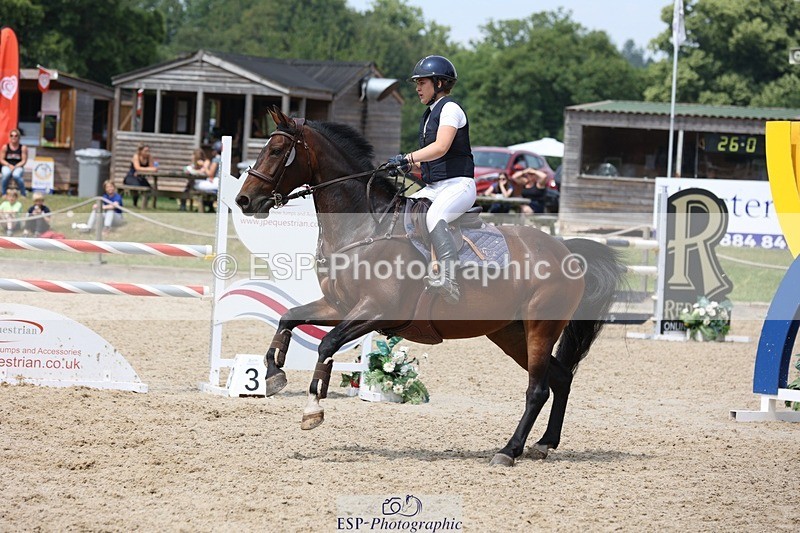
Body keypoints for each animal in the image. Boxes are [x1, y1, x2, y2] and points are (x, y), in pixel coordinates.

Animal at [235, 107, 624, 466]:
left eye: (276, 150)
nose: (244, 201)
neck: (365, 227)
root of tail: (566, 251)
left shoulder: (376, 311)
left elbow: (327, 344)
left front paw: (312, 408)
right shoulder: (339, 307)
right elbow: (288, 318)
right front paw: (272, 374)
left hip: (540, 327)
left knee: (538, 389)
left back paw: (509, 450)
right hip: (511, 334)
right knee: (560, 378)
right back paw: (544, 443)